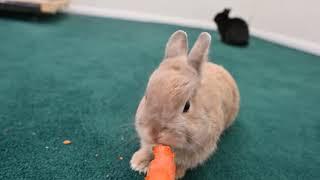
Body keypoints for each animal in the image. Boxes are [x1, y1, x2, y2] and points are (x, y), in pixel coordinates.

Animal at [131, 30, 240, 178]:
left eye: (187, 106)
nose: (154, 132)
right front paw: (138, 162)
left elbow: (184, 163)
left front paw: (176, 172)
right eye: (147, 96)